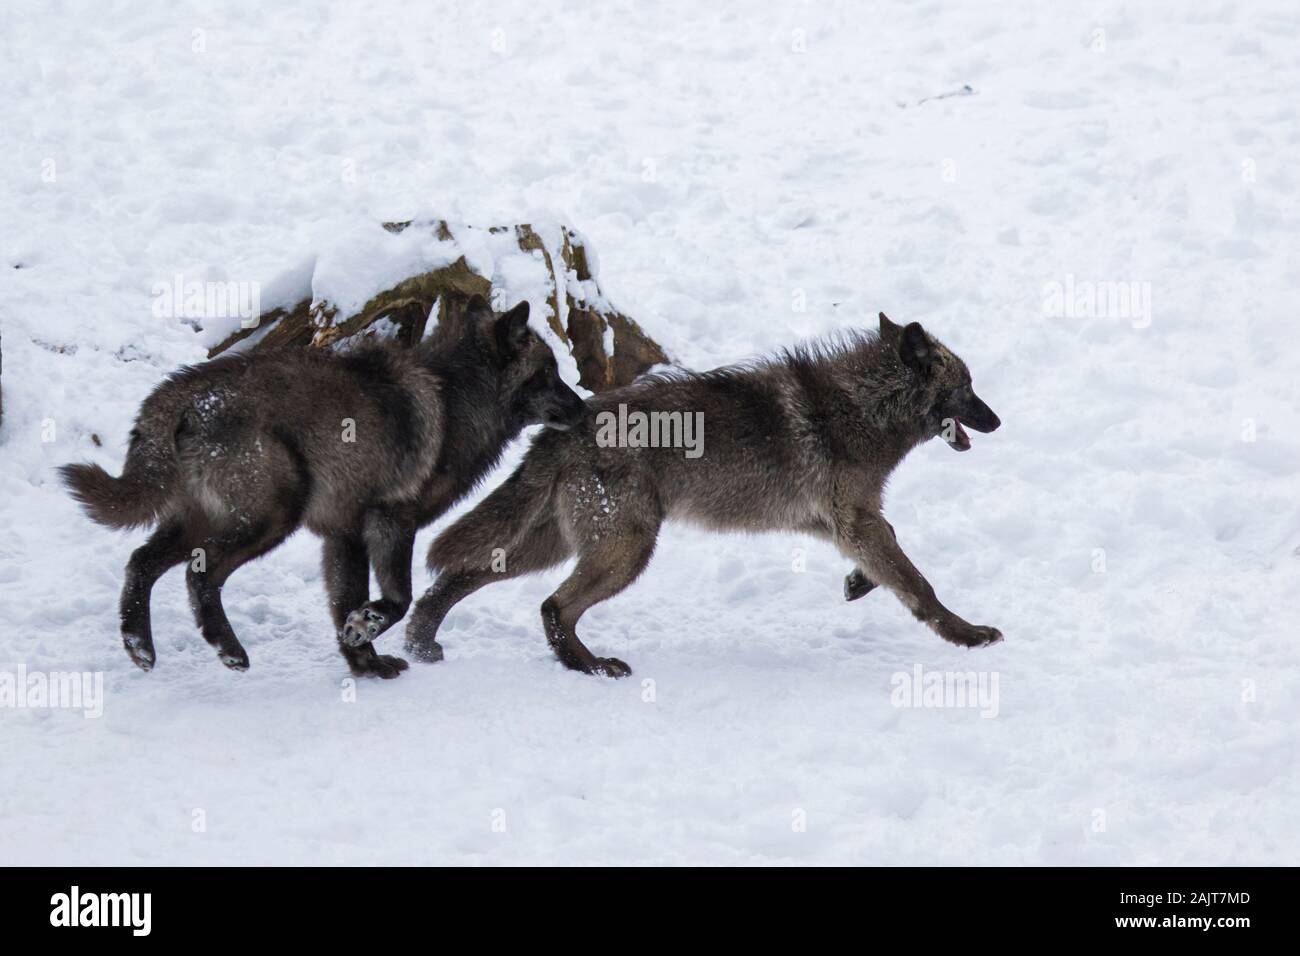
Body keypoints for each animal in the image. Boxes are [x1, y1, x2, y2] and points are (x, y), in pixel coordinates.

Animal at [61, 296, 585, 678]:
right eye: (548, 373)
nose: (583, 408)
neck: (458, 398)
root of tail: (184, 392)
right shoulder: (391, 520)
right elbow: (398, 601)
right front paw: (365, 631)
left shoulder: (343, 534)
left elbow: (345, 602)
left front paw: (365, 663)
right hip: (273, 516)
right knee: (199, 574)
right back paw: (228, 649)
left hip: (202, 520)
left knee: (141, 562)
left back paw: (140, 647)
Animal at [399, 313, 1002, 676]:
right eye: (968, 387)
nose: (997, 420)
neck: (863, 407)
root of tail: (563, 427)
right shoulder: (855, 519)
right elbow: (918, 583)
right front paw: (968, 635)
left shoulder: (837, 522)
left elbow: (890, 560)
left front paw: (858, 582)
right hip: (625, 549)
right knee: (552, 607)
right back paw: (592, 667)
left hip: (558, 544)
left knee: (458, 577)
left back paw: (421, 643)